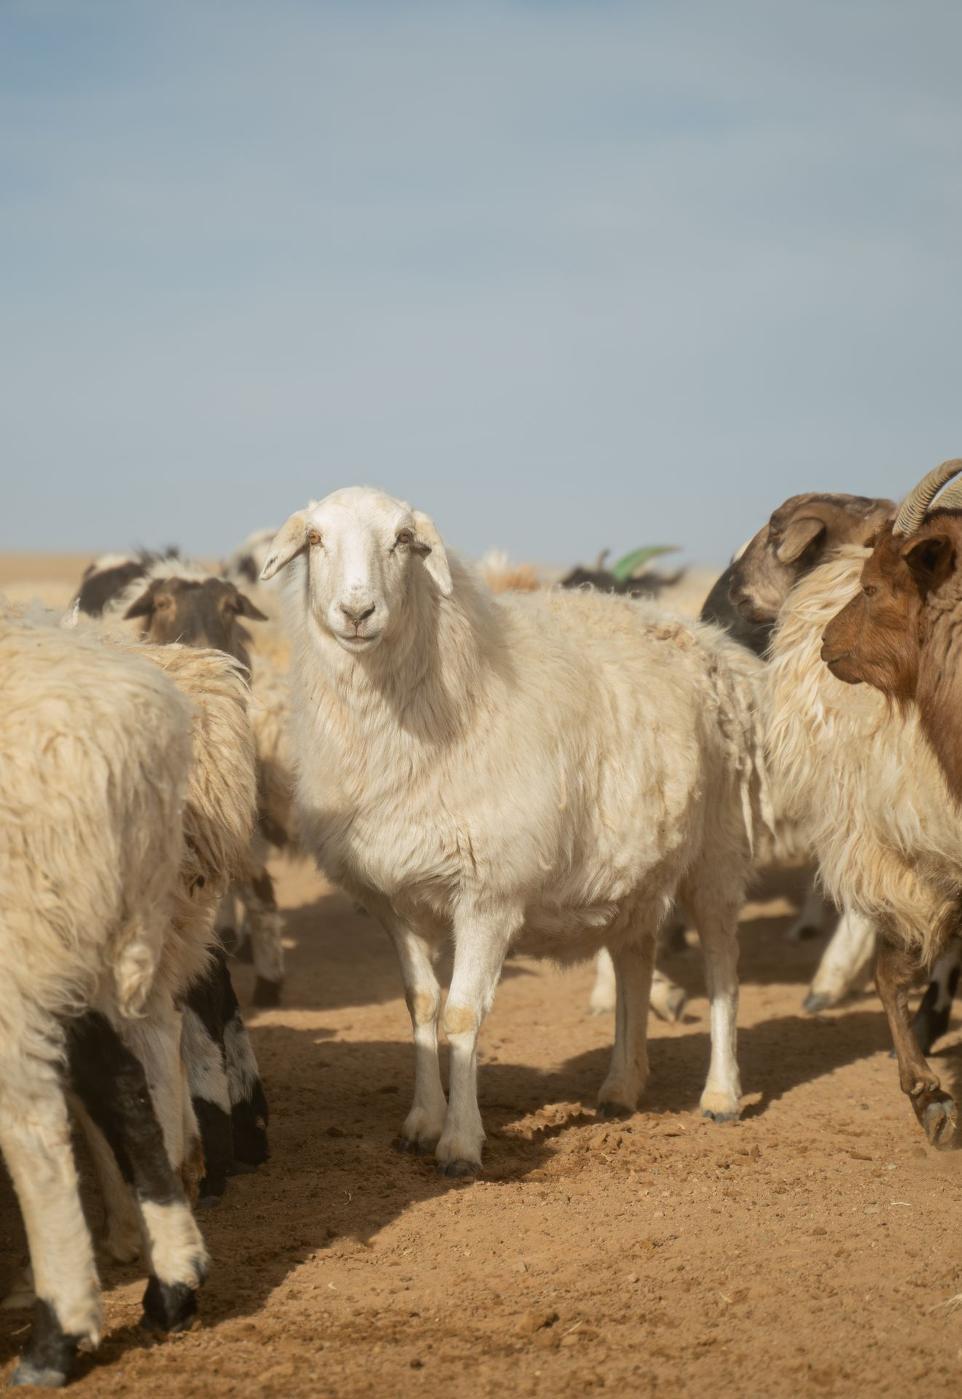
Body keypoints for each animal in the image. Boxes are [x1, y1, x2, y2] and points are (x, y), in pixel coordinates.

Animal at [262, 486, 766, 1175]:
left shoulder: (488, 893)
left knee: (722, 970)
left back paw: (720, 1094)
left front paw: (460, 1144)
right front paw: (421, 1121)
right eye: (314, 539)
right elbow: (421, 1005)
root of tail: (704, 636)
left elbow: (461, 1015)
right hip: (636, 867)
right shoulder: (393, 898)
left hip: (717, 850)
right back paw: (621, 1087)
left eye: (404, 540)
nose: (358, 611)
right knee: (634, 959)